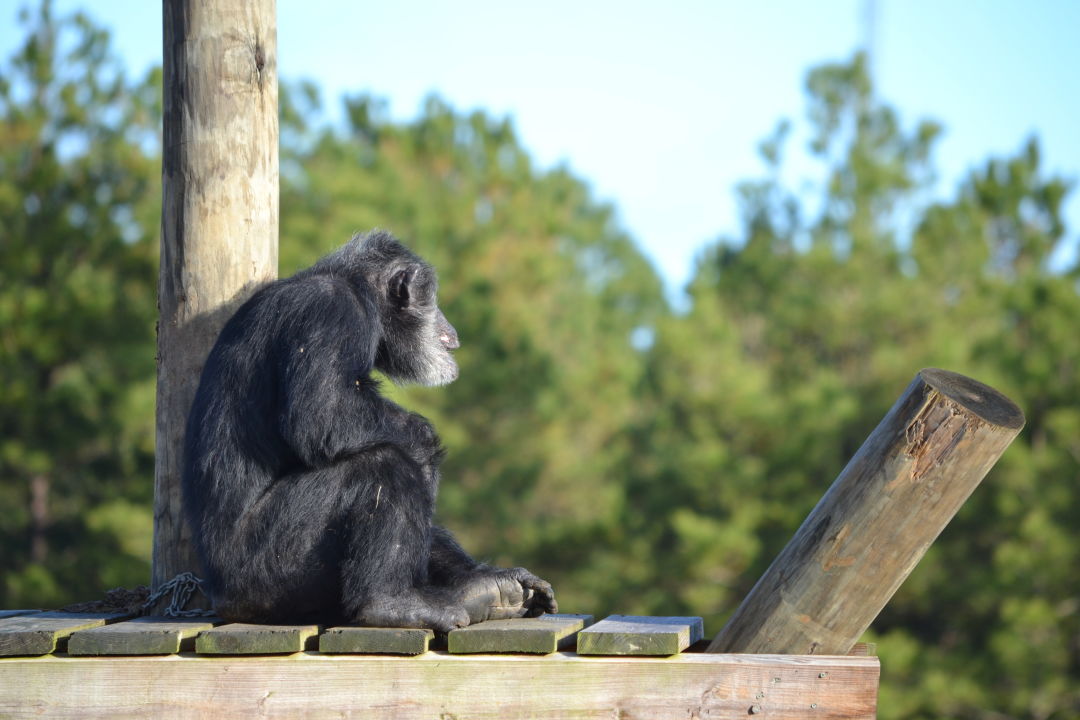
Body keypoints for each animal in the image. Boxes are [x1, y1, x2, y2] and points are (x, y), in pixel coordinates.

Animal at [182, 229, 557, 630]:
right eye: (432, 300)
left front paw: (491, 580)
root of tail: (222, 599)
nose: (451, 332)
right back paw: (389, 602)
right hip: (265, 569)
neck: (358, 290)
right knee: (382, 464)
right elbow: (325, 413)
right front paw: (424, 439)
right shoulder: (330, 311)